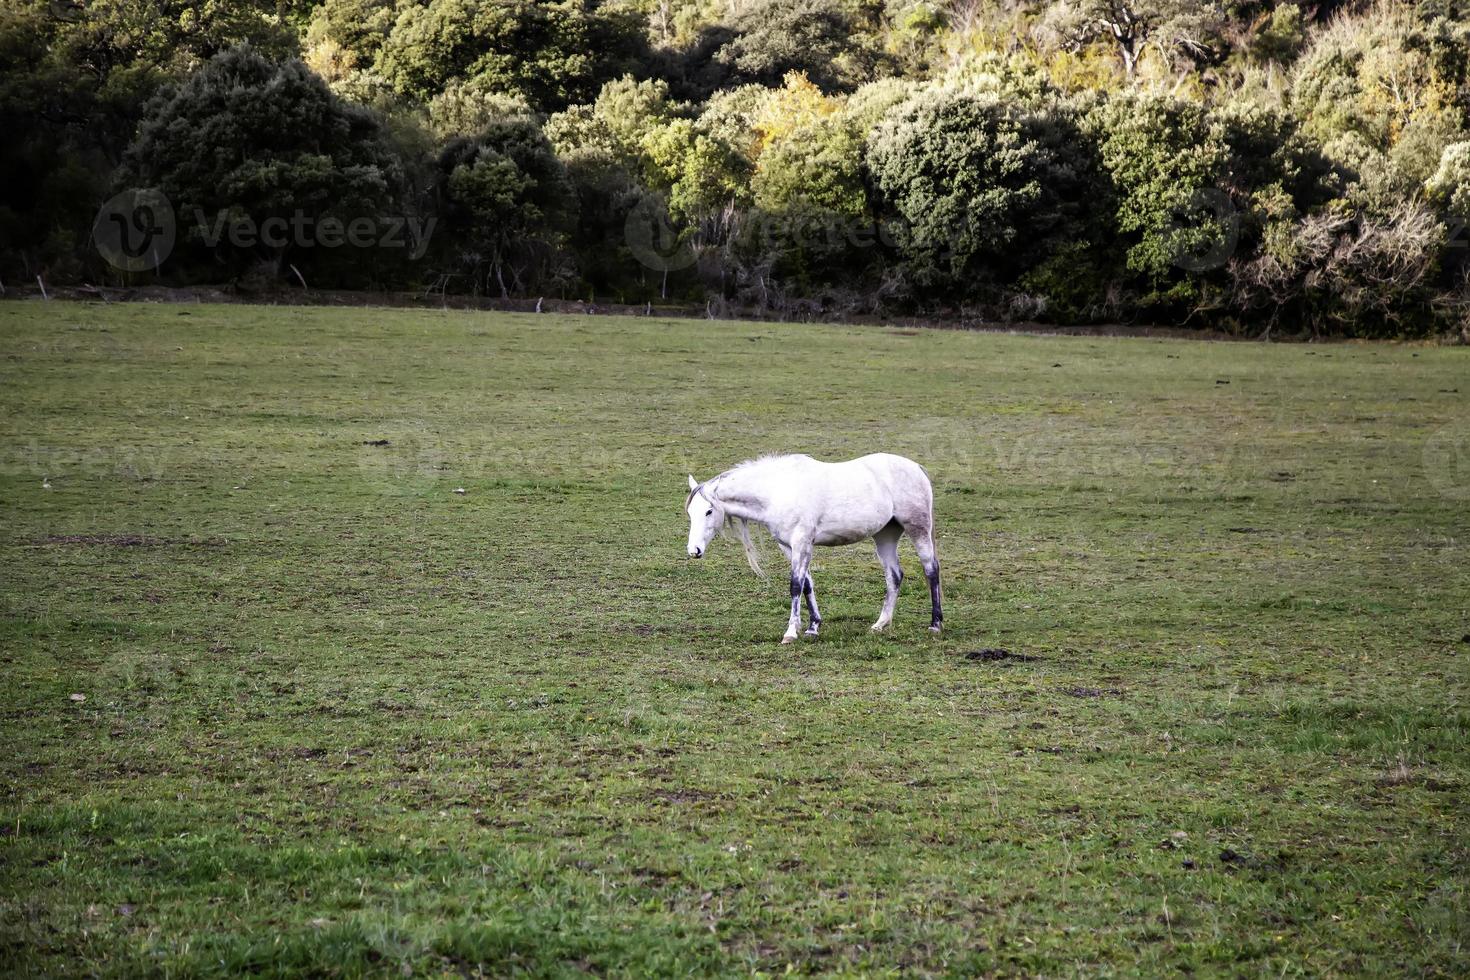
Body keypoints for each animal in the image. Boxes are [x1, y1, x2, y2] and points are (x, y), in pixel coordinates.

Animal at [685, 455, 940, 643]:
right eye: (690, 512)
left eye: (709, 511)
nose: (693, 550)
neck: (778, 490)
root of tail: (916, 468)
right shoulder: (789, 546)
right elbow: (807, 584)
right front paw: (812, 627)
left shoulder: (801, 542)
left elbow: (795, 585)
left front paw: (790, 633)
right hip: (885, 536)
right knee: (894, 576)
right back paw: (880, 624)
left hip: (918, 529)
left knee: (931, 570)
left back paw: (935, 624)